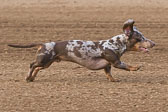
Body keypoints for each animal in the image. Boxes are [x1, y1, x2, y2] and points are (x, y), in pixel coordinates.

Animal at [7, 19, 155, 82]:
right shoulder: (116, 62)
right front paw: (135, 67)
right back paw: (28, 77)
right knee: (32, 65)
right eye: (140, 38)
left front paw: (114, 80)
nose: (154, 43)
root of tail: (43, 44)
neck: (114, 44)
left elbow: (109, 74)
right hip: (43, 60)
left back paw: (32, 78)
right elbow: (126, 66)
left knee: (36, 68)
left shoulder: (107, 66)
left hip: (47, 63)